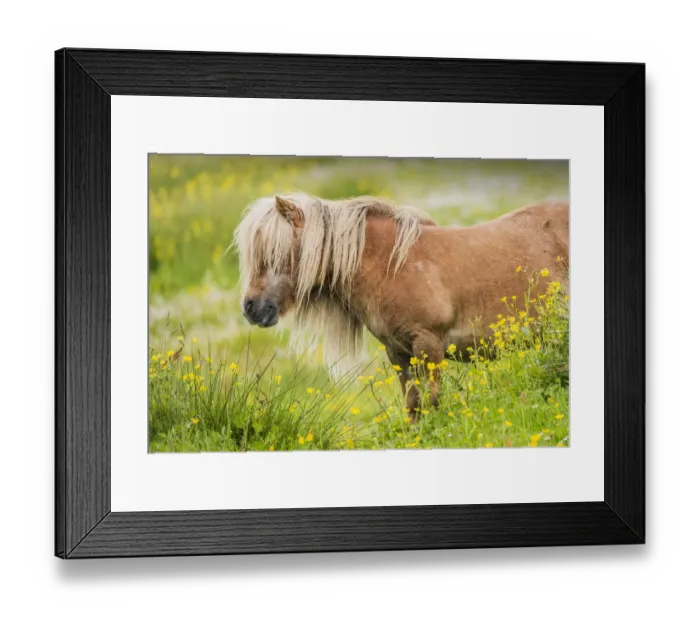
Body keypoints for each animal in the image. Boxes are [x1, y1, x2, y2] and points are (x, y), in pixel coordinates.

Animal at [233, 192, 569, 418]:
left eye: (275, 251)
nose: (251, 307)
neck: (391, 265)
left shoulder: (429, 345)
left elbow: (433, 402)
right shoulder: (396, 351)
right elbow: (413, 405)